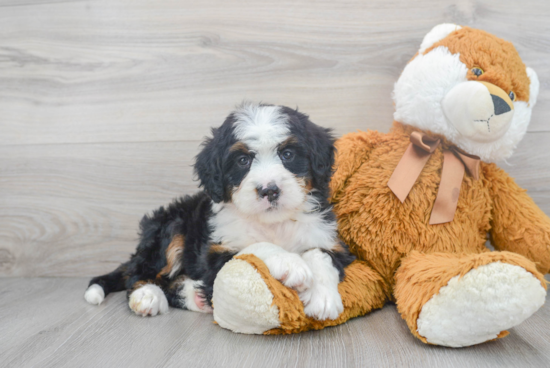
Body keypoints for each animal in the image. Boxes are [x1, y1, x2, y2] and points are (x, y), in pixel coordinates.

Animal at [84, 102, 356, 320]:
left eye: (288, 154)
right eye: (243, 161)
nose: (269, 190)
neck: (272, 223)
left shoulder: (331, 241)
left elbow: (319, 255)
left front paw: (322, 297)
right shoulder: (216, 253)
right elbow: (255, 247)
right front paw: (289, 262)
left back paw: (195, 296)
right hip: (172, 227)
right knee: (141, 274)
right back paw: (148, 296)